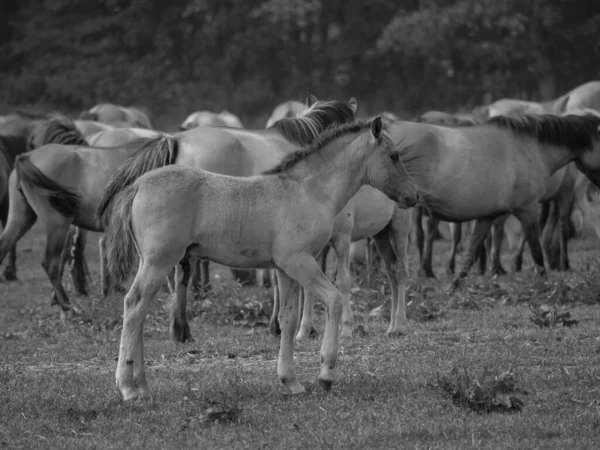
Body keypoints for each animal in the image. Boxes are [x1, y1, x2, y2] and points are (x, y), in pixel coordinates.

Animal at [102, 117, 418, 400]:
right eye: (394, 155)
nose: (413, 197)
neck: (308, 192)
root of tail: (139, 185)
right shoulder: (299, 261)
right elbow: (334, 300)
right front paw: (326, 374)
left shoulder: (284, 269)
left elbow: (288, 320)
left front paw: (291, 382)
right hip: (159, 261)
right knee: (134, 305)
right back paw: (127, 387)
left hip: (153, 262)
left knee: (140, 311)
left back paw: (143, 386)